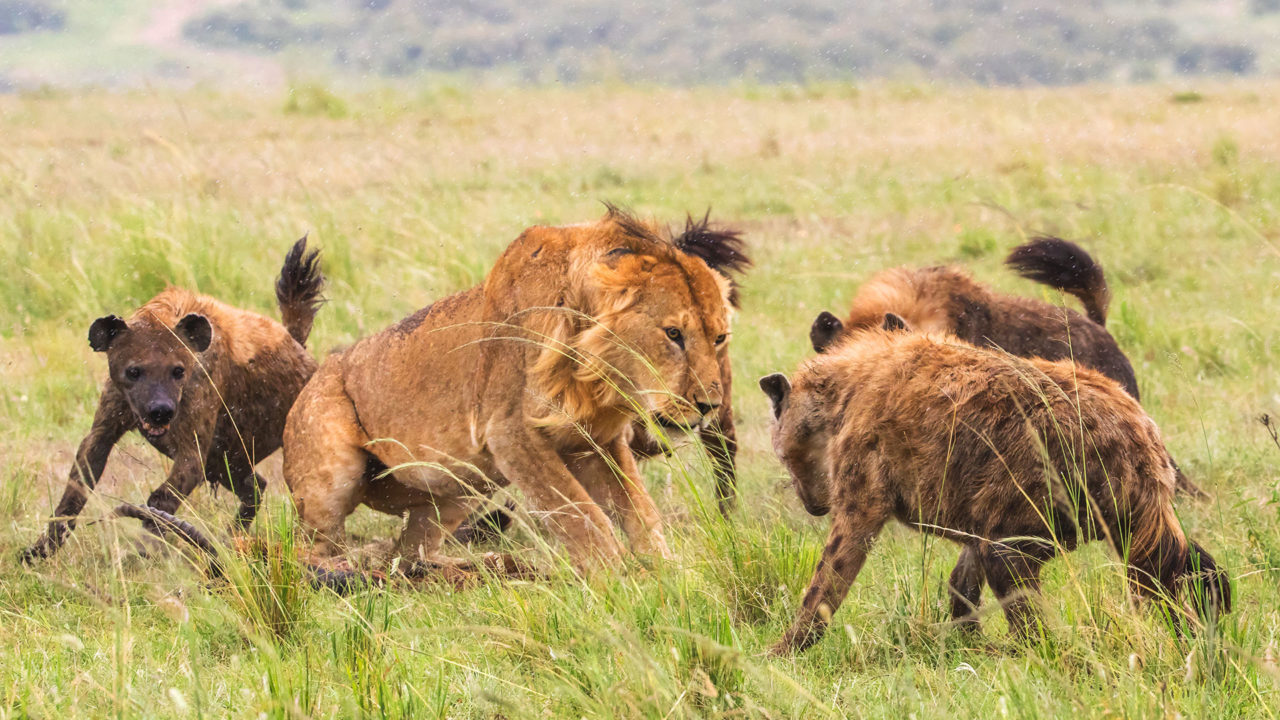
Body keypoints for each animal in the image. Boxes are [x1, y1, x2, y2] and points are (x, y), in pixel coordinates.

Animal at [282, 207, 735, 571]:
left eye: (719, 338)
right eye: (673, 334)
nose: (709, 405)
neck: (596, 377)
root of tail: (317, 370)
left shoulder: (594, 441)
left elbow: (640, 511)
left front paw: (671, 576)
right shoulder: (511, 434)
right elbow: (583, 517)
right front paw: (623, 583)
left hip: (459, 489)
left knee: (410, 553)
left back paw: (484, 565)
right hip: (332, 474)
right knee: (307, 551)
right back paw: (343, 569)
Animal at [760, 315, 1230, 654]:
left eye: (783, 457)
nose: (813, 505)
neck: (843, 396)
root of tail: (1139, 438)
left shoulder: (864, 492)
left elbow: (827, 580)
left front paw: (781, 653)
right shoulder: (980, 504)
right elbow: (961, 581)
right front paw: (966, 642)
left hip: (1046, 508)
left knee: (1022, 592)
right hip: (1135, 522)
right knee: (1188, 570)